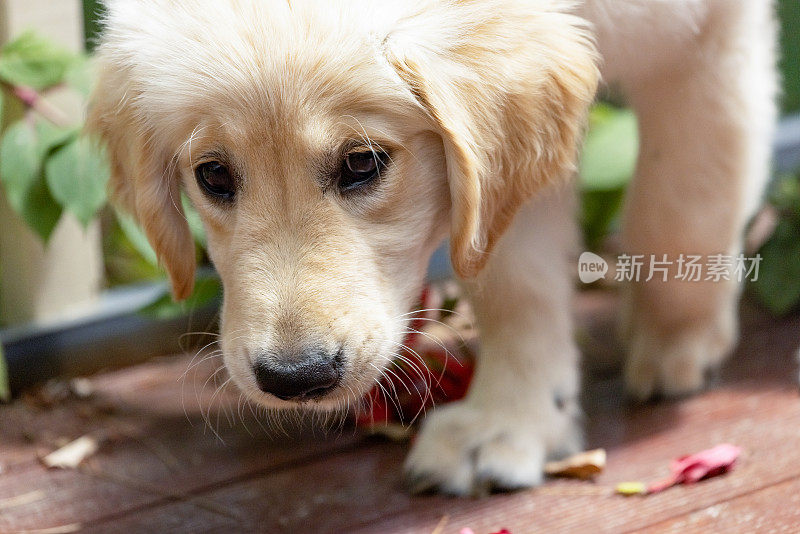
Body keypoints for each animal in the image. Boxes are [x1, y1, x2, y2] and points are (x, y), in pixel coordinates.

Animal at [87, 0, 776, 496]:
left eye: (362, 162)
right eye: (213, 176)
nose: (295, 377)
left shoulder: (709, 35)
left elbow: (683, 198)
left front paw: (676, 341)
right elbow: (513, 283)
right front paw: (513, 419)